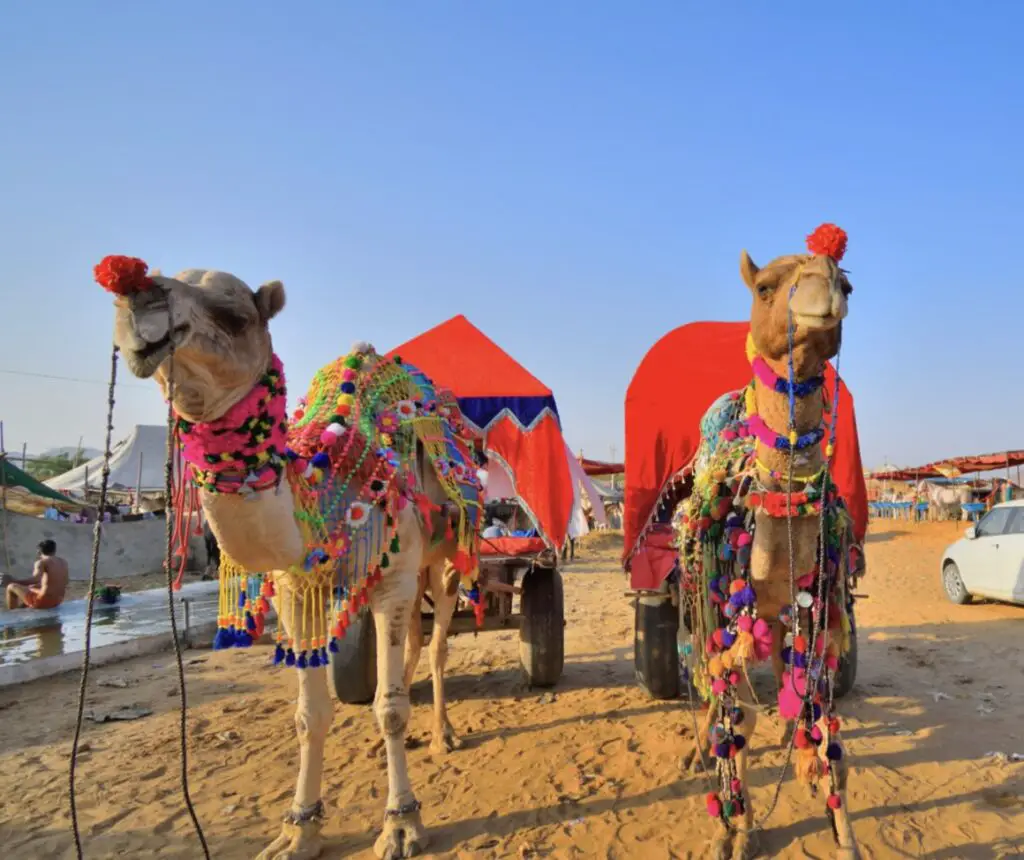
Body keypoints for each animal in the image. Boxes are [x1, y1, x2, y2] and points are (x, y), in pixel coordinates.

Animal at [95, 256, 479, 860]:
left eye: (235, 314)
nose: (135, 297)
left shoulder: (391, 579)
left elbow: (389, 709)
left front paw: (402, 824)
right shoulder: (299, 589)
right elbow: (309, 715)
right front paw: (299, 829)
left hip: (444, 555)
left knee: (438, 639)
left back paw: (442, 734)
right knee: (417, 643)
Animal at [679, 226, 864, 860]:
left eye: (848, 285)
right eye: (764, 287)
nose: (823, 287)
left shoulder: (816, 602)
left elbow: (824, 719)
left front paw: (844, 834)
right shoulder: (727, 612)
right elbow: (736, 721)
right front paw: (732, 832)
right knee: (707, 683)